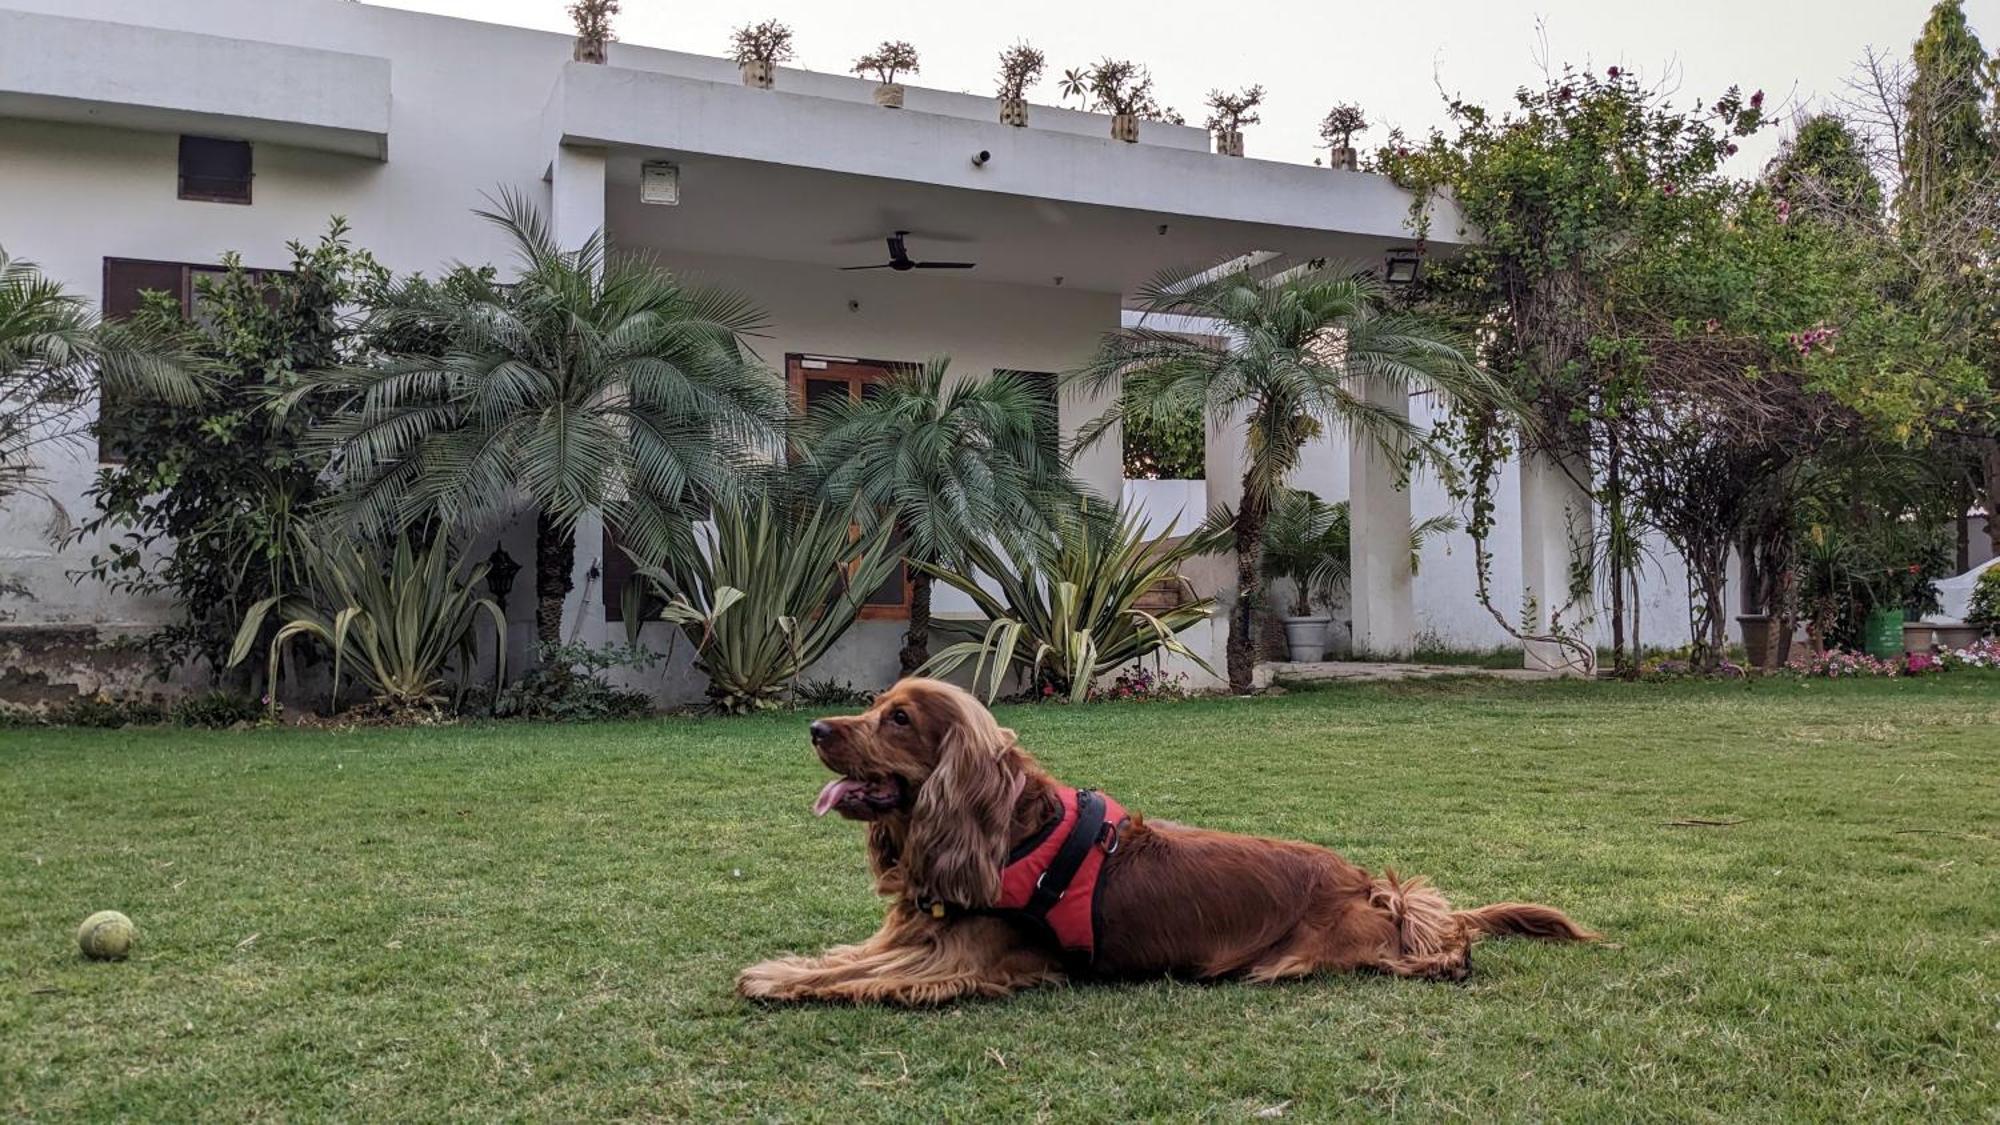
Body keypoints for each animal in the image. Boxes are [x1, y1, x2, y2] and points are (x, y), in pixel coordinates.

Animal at [736, 672, 1592, 996]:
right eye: (875, 704)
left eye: (900, 719)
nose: (815, 727)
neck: (1008, 834)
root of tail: (1361, 880)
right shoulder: (921, 933)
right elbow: (845, 956)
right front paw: (787, 964)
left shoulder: (966, 959)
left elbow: (857, 978)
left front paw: (777, 981)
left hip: (1333, 945)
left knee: (1430, 942)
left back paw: (1446, 958)